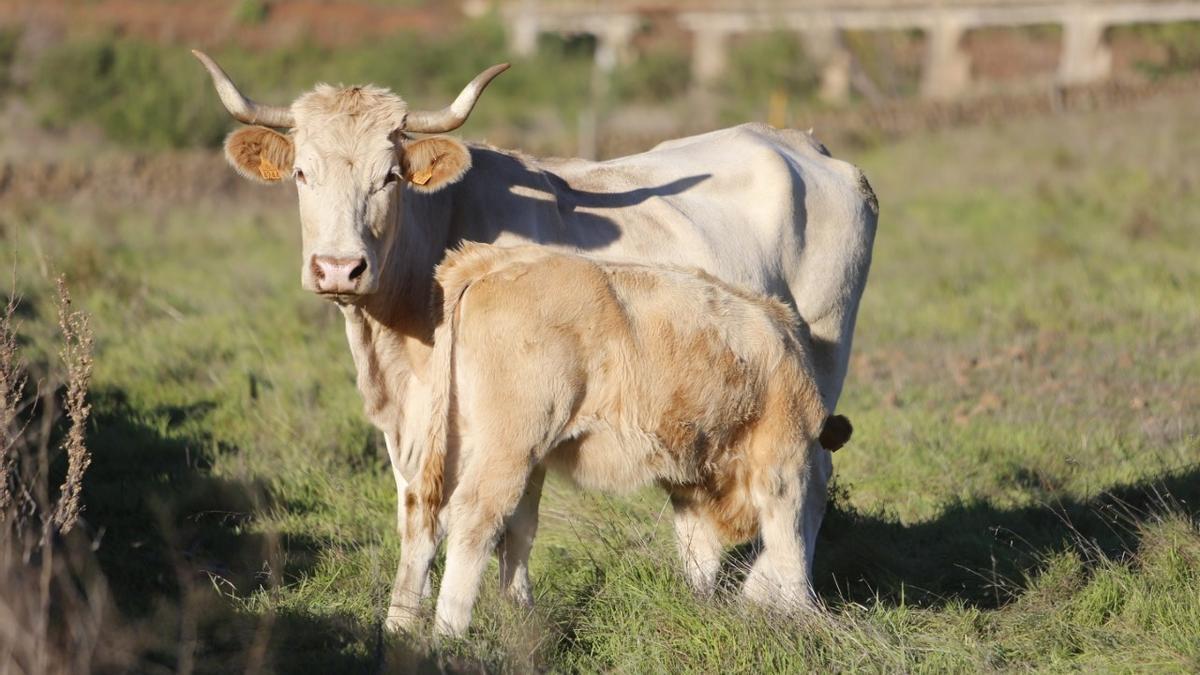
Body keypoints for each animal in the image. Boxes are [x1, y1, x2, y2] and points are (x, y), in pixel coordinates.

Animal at [388, 242, 849, 634]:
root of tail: (492, 260)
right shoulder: (783, 460)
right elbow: (788, 544)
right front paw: (803, 617)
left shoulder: (690, 481)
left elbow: (698, 552)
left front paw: (704, 608)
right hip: (510, 443)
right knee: (477, 517)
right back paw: (449, 632)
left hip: (466, 440)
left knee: (433, 513)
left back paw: (407, 626)